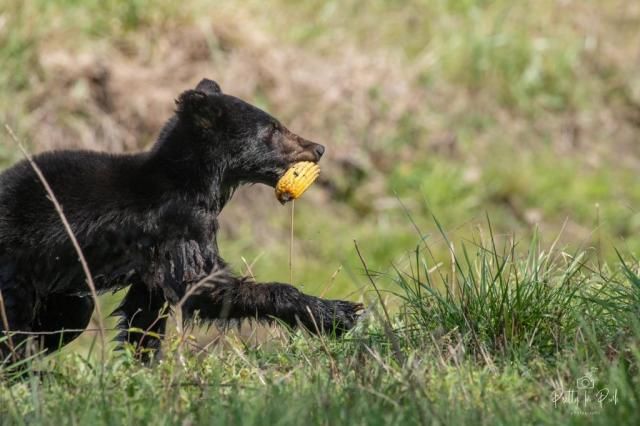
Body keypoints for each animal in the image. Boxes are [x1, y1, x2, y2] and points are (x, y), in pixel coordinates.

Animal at [0, 78, 363, 362]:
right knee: (15, 329)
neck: (193, 184)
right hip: (18, 271)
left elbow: (145, 311)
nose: (318, 147)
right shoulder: (178, 226)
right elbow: (201, 286)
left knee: (69, 317)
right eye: (272, 129)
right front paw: (339, 312)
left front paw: (141, 366)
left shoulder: (154, 259)